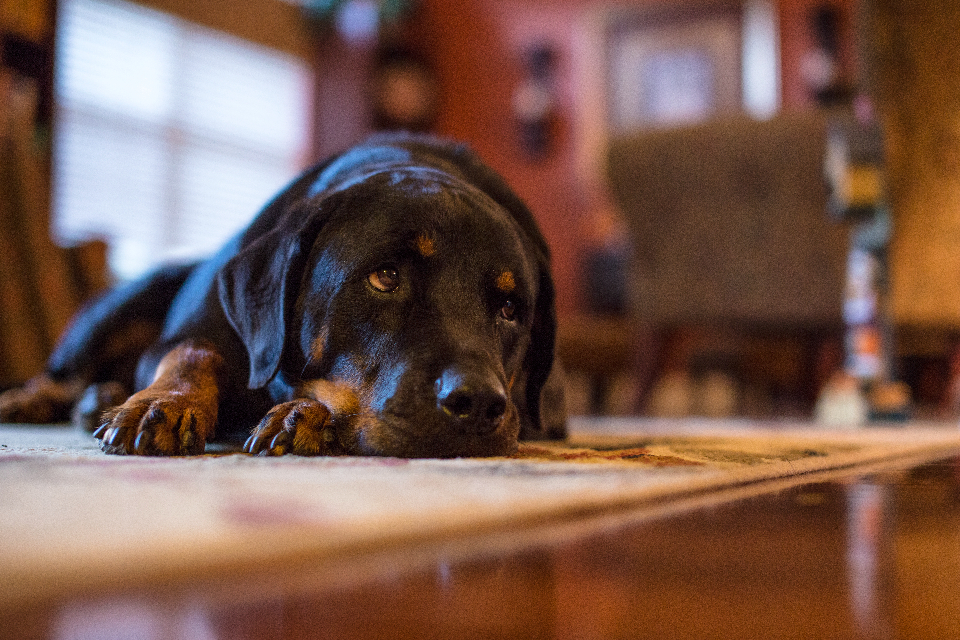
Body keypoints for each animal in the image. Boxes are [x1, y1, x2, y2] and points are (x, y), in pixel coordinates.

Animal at [0, 132, 564, 458]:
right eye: (385, 277)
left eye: (510, 309)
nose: (478, 403)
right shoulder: (197, 330)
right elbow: (192, 352)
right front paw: (165, 403)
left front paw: (304, 415)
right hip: (124, 305)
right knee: (66, 372)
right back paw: (43, 398)